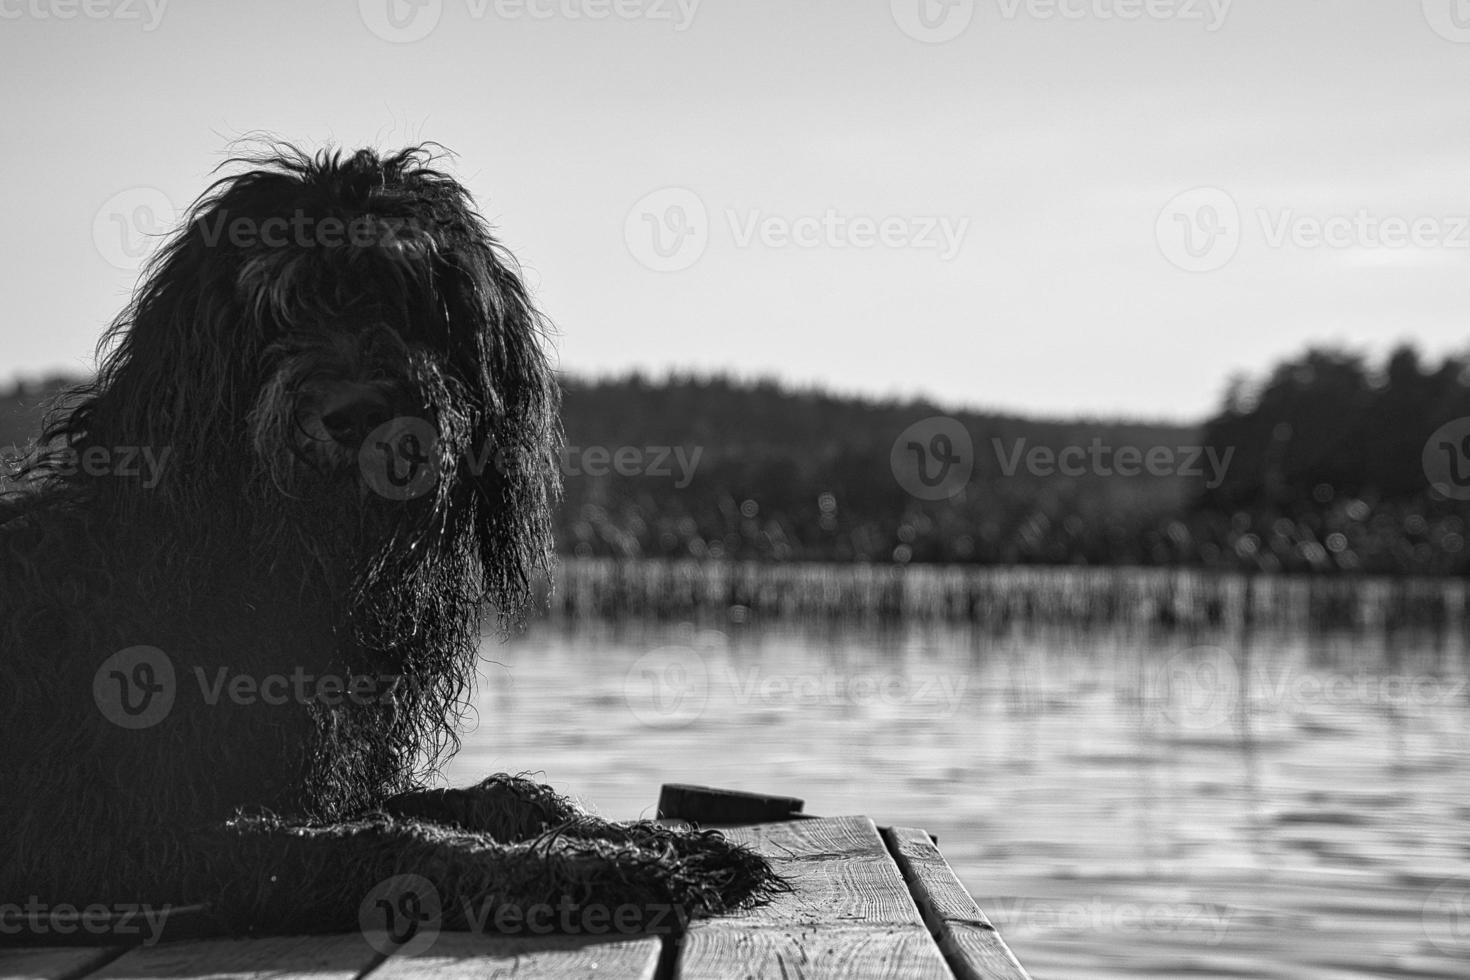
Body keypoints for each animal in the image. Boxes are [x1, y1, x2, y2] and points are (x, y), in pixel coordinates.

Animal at [0, 145, 782, 940]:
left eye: (409, 298)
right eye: (277, 309)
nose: (356, 413)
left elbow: (497, 798)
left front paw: (638, 835)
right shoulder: (120, 840)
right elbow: (388, 842)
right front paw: (596, 870)